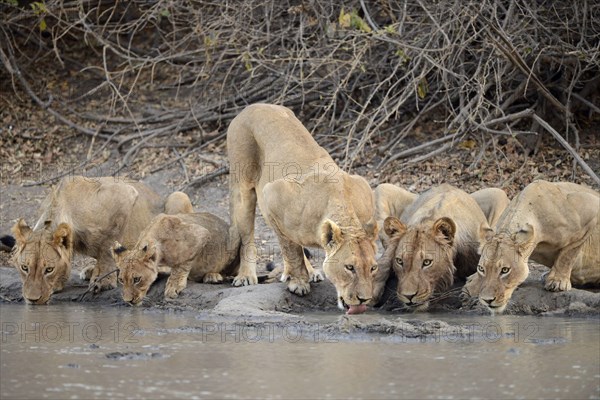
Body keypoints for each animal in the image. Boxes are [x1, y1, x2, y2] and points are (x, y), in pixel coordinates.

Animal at [10, 177, 192, 304]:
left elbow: (107, 246)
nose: (32, 300)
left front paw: (103, 281)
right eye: (24, 268)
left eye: (49, 269)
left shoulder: (125, 194)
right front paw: (95, 272)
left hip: (178, 196)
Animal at [227, 104, 378, 316]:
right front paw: (298, 283)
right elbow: (291, 249)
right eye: (349, 267)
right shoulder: (272, 195)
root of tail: (252, 107)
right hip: (243, 186)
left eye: (373, 268)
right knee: (249, 235)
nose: (364, 299)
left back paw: (312, 273)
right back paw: (246, 276)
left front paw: (300, 276)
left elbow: (293, 246)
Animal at [462, 180, 596, 314]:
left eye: (505, 270)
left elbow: (568, 254)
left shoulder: (591, 208)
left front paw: (557, 281)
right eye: (481, 268)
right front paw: (472, 285)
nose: (487, 300)